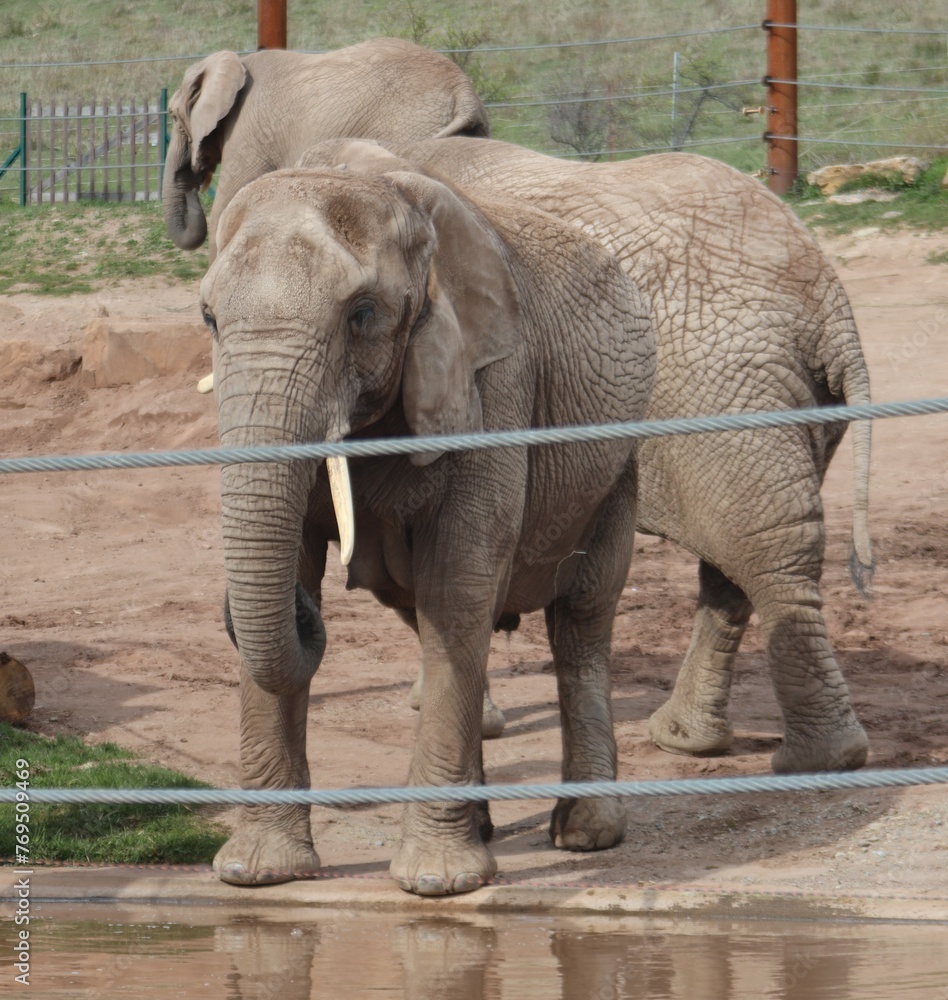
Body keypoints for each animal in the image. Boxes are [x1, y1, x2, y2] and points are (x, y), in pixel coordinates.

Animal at [161, 38, 488, 255]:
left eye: (174, 117)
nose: (193, 184)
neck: (234, 64)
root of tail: (463, 91)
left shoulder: (247, 135)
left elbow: (227, 211)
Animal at [199, 162, 656, 894]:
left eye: (361, 314)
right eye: (209, 317)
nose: (308, 613)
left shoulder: (494, 382)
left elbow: (460, 581)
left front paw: (438, 883)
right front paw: (258, 874)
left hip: (618, 465)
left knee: (581, 621)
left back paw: (585, 834)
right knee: (436, 621)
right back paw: (489, 828)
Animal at [298, 137, 874, 775]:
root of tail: (831, 304)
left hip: (736, 394)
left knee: (761, 552)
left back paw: (814, 760)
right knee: (747, 558)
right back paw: (702, 742)